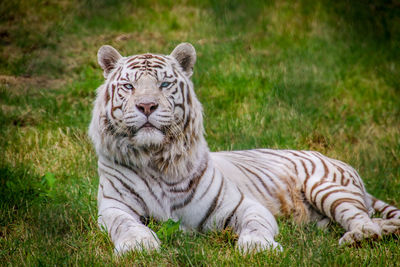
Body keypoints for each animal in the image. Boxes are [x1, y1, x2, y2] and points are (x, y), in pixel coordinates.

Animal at [89, 43, 400, 254]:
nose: (147, 106)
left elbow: (256, 224)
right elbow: (126, 225)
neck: (155, 158)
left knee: (362, 219)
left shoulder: (240, 204)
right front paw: (138, 245)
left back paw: (361, 237)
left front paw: (259, 247)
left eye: (164, 84)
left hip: (327, 187)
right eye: (129, 87)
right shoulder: (114, 207)